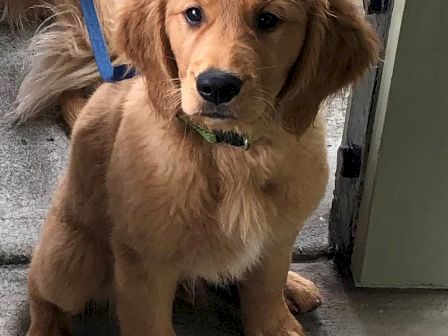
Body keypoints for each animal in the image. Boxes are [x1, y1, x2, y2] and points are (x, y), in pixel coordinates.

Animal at [6, 0, 378, 334]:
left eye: (268, 19)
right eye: (194, 14)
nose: (216, 86)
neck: (231, 153)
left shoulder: (276, 239)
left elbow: (266, 292)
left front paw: (277, 317)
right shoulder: (144, 267)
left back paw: (293, 285)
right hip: (72, 261)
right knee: (39, 286)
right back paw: (46, 328)